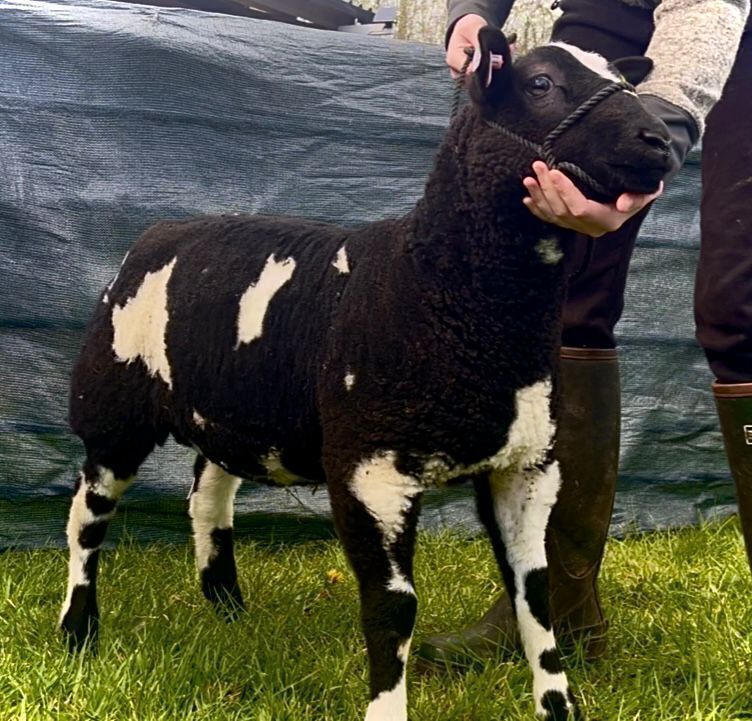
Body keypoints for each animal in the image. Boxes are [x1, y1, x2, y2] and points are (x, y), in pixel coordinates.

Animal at [59, 28, 671, 721]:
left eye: (622, 81)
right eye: (540, 83)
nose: (662, 140)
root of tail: (160, 231)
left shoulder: (528, 465)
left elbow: (534, 593)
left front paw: (558, 707)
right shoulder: (367, 467)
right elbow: (392, 607)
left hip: (233, 411)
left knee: (207, 496)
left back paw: (231, 615)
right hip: (112, 405)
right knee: (88, 514)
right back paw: (79, 632)